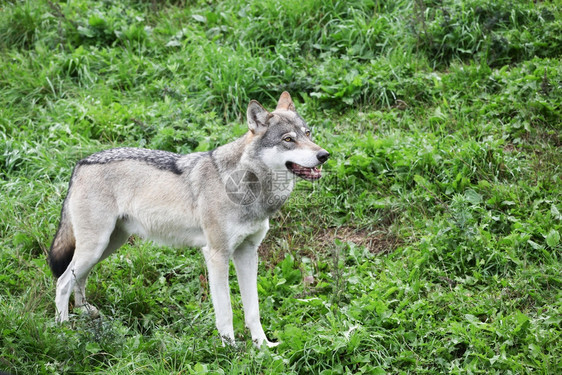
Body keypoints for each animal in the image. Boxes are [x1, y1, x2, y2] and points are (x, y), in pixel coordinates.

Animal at [49, 92, 328, 348]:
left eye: (308, 133)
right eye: (288, 139)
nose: (324, 155)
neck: (249, 186)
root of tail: (80, 163)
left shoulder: (248, 252)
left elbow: (253, 310)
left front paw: (263, 347)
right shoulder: (216, 255)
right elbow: (226, 311)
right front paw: (231, 351)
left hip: (107, 246)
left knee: (78, 277)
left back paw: (85, 311)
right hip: (96, 246)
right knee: (62, 282)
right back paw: (64, 332)